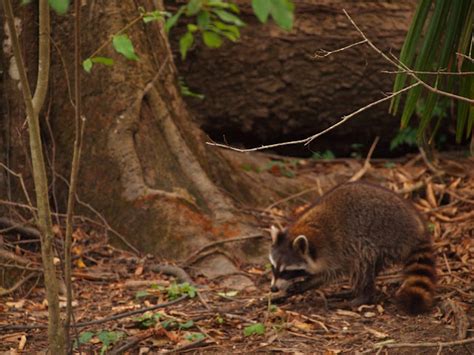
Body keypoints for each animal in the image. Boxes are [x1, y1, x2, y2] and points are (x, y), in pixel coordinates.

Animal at [270, 182, 436, 316]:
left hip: (385, 235)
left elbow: (329, 274)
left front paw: (306, 283)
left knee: (363, 260)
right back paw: (352, 292)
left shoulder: (335, 251)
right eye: (273, 267)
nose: (273, 289)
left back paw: (362, 296)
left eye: (287, 272)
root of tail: (418, 228)